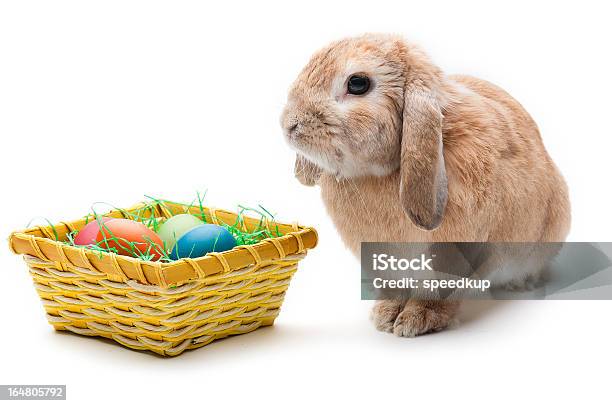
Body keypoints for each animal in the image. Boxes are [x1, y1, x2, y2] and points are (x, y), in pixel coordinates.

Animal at [280, 33, 572, 336]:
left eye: (358, 83)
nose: (289, 125)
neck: (377, 174)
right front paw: (386, 315)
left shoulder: (457, 253)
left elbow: (441, 289)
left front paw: (418, 319)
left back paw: (521, 283)